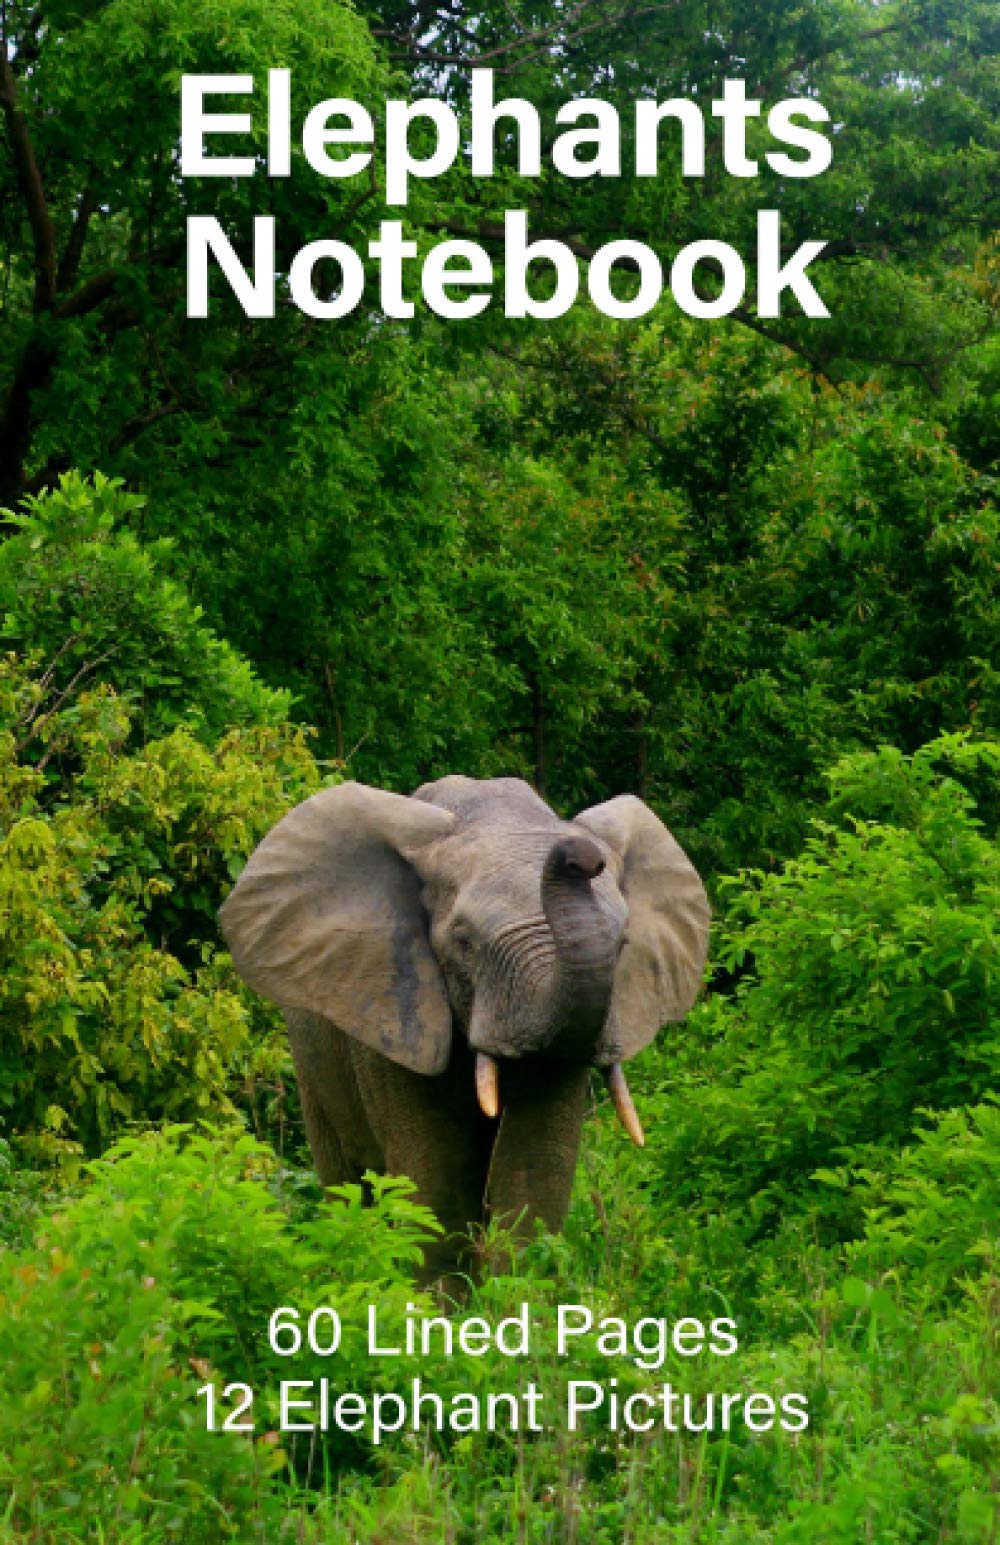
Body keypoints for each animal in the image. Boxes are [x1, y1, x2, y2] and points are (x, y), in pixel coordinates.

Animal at [219, 776, 709, 1283]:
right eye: (464, 943)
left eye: (624, 944)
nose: (580, 857)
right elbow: (437, 1185)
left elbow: (532, 1176)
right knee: (347, 1183)